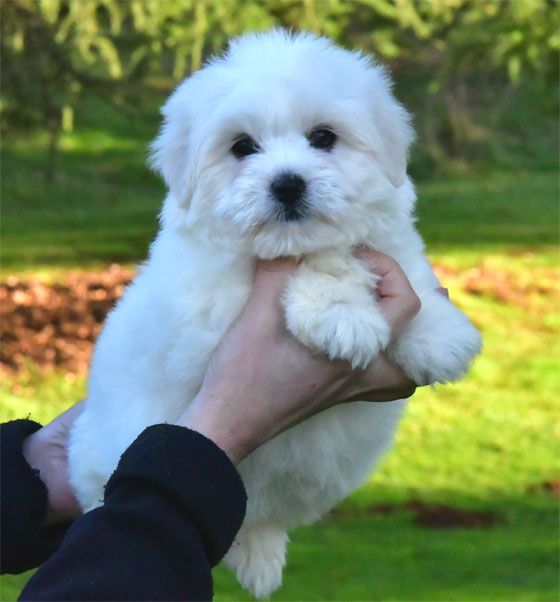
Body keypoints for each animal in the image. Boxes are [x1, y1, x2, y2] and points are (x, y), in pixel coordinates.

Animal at [69, 31, 482, 596]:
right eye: (242, 147)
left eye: (323, 137)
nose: (288, 184)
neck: (293, 242)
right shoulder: (211, 305)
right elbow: (323, 265)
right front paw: (344, 316)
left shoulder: (389, 244)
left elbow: (405, 266)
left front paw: (440, 333)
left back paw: (261, 559)